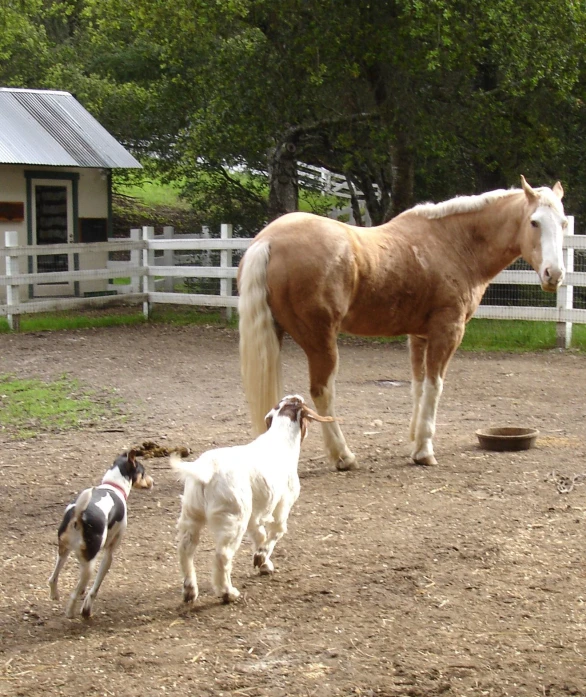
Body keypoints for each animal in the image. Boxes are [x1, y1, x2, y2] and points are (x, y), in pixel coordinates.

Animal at [48, 454, 153, 616]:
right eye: (143, 472)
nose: (152, 481)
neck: (113, 486)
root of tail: (79, 515)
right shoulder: (109, 555)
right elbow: (95, 588)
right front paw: (86, 608)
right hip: (90, 565)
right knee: (74, 594)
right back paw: (71, 612)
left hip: (63, 552)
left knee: (53, 578)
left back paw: (55, 595)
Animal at [170, 394, 334, 600]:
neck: (280, 439)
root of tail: (207, 470)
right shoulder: (283, 503)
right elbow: (278, 530)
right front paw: (261, 556)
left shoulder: (255, 514)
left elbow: (259, 534)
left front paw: (263, 563)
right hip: (234, 517)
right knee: (223, 555)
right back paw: (227, 592)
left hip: (192, 514)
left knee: (185, 549)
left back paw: (190, 590)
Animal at [237, 174, 564, 470]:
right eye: (534, 222)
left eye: (563, 224)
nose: (555, 274)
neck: (453, 243)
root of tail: (269, 239)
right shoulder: (448, 331)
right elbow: (434, 387)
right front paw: (424, 451)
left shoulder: (419, 336)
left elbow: (418, 387)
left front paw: (414, 440)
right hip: (321, 341)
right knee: (322, 392)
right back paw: (344, 456)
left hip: (276, 336)